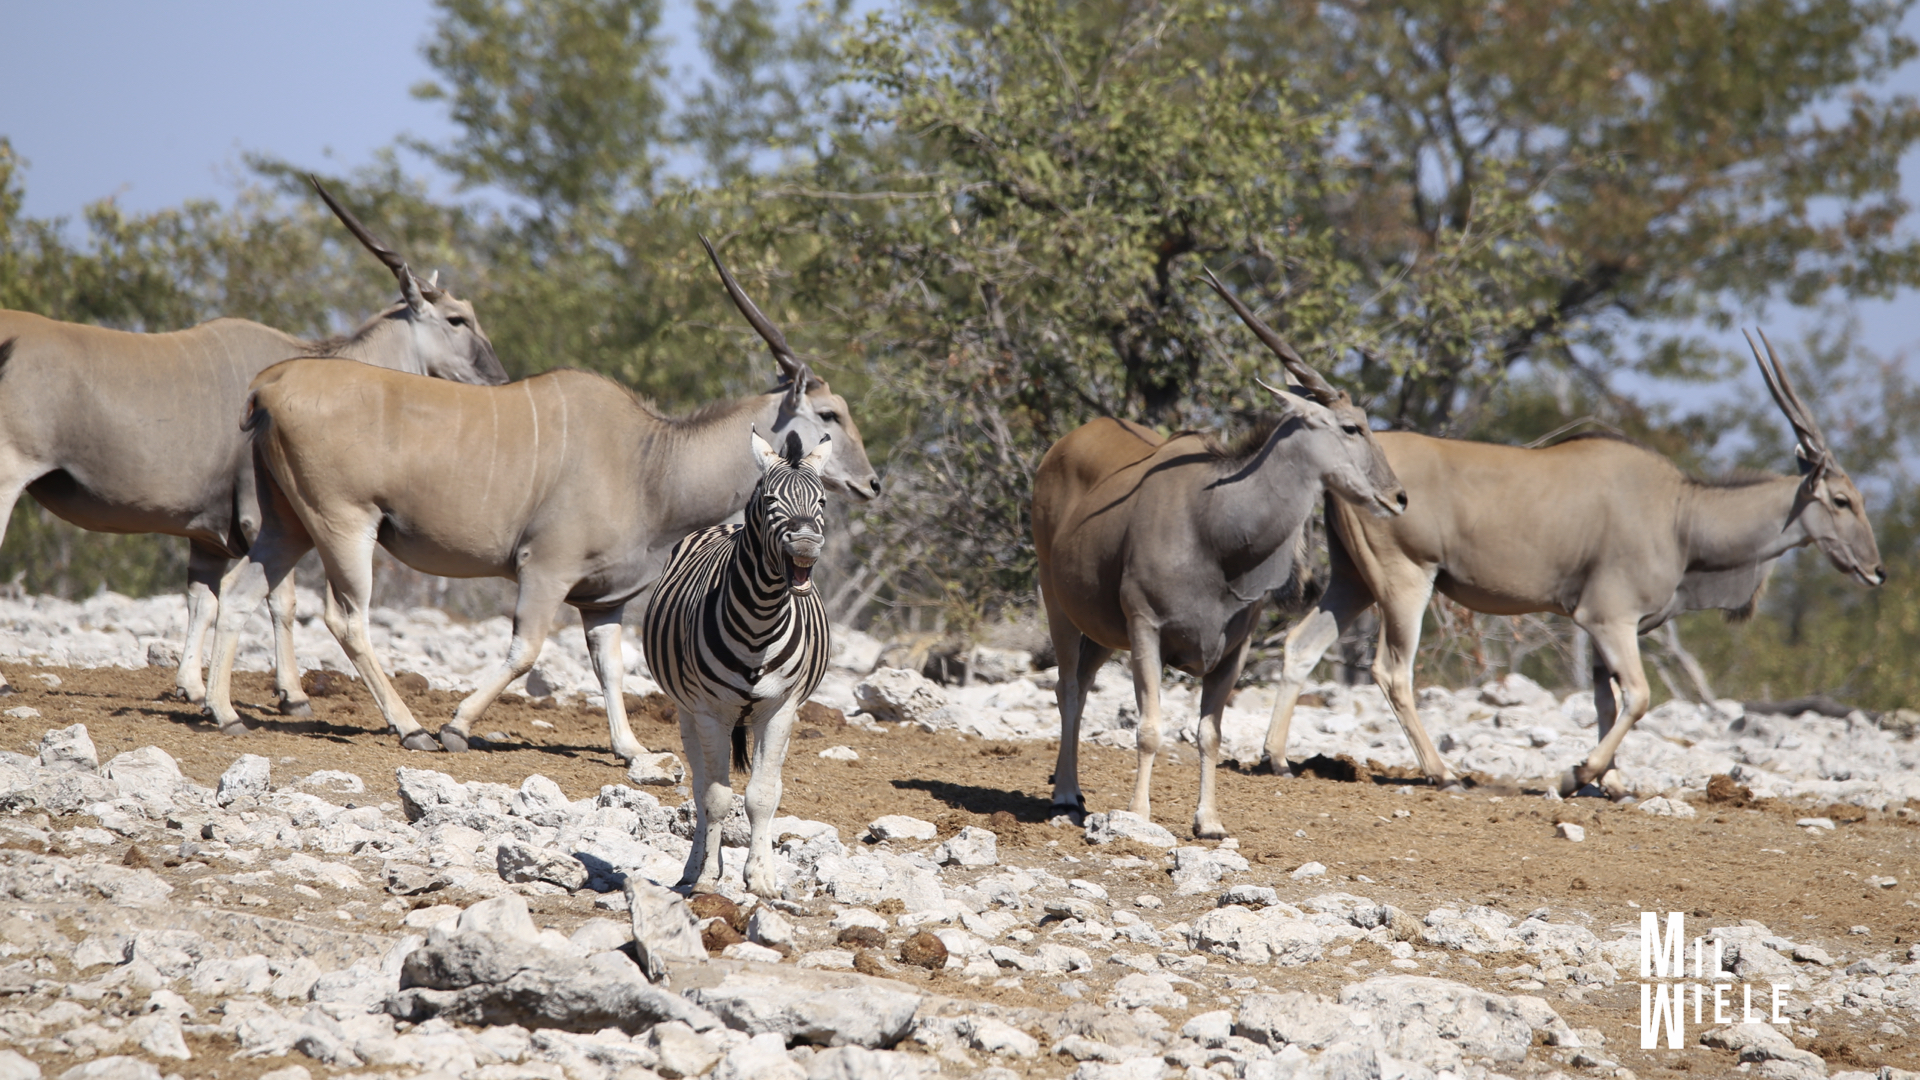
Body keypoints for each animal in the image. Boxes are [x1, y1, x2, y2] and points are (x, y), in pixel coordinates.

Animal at [0, 179, 506, 706]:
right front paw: (293, 694)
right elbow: (280, 599)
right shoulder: (263, 518)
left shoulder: (206, 535)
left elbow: (202, 600)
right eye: (456, 320)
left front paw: (193, 687)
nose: (499, 379)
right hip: (7, 478)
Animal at [200, 239, 879, 756]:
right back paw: (411, 726)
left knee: (239, 593)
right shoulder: (544, 571)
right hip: (344, 525)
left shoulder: (603, 601)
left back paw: (223, 712)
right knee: (347, 619)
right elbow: (525, 652)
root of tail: (270, 385)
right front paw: (455, 726)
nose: (872, 483)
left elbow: (611, 666)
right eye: (828, 413)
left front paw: (634, 753)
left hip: (288, 527)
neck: (650, 461)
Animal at [642, 428, 835, 896]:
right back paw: (694, 869)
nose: (806, 545)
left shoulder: (780, 710)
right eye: (770, 500)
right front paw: (708, 877)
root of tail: (725, 523)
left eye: (822, 501)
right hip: (686, 711)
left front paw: (761, 877)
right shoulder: (710, 712)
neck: (760, 620)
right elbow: (715, 798)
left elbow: (762, 795)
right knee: (699, 787)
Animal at [1032, 271, 1406, 838]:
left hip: (1101, 630)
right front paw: (1138, 815)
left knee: (1082, 681)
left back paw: (1069, 790)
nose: (1398, 497)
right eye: (1351, 427)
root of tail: (1060, 446)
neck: (1216, 529)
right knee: (1068, 688)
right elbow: (1149, 727)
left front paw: (1208, 821)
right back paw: (1065, 796)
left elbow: (1210, 733)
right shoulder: (1145, 627)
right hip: (1058, 604)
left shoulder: (1233, 651)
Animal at [1260, 332, 1885, 796]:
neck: (1681, 514)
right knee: (1392, 672)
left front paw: (1608, 782)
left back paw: (1277, 758)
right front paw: (1575, 773)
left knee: (1300, 646)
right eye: (1841, 500)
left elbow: (1608, 700)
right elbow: (1638, 696)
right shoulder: (1609, 620)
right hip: (1405, 583)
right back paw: (1442, 773)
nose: (1877, 571)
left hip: (1353, 583)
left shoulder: (1609, 630)